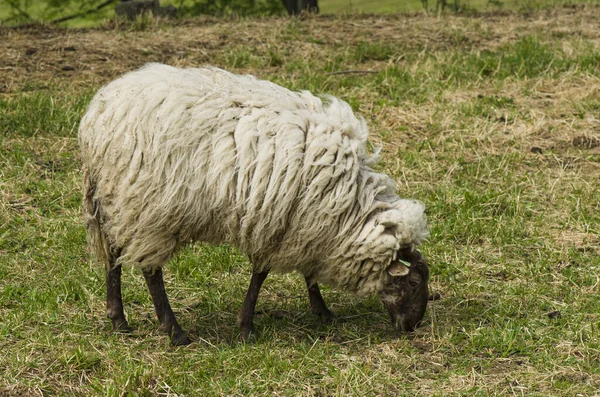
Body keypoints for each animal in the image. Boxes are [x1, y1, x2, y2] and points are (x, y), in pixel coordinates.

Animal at [79, 62, 432, 344]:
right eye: (414, 282)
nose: (412, 327)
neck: (350, 208)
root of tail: (96, 117)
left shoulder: (309, 224)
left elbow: (307, 271)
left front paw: (322, 311)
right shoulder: (283, 222)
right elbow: (261, 274)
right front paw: (247, 326)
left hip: (117, 200)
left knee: (112, 254)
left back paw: (119, 320)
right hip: (148, 208)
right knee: (151, 271)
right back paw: (175, 332)